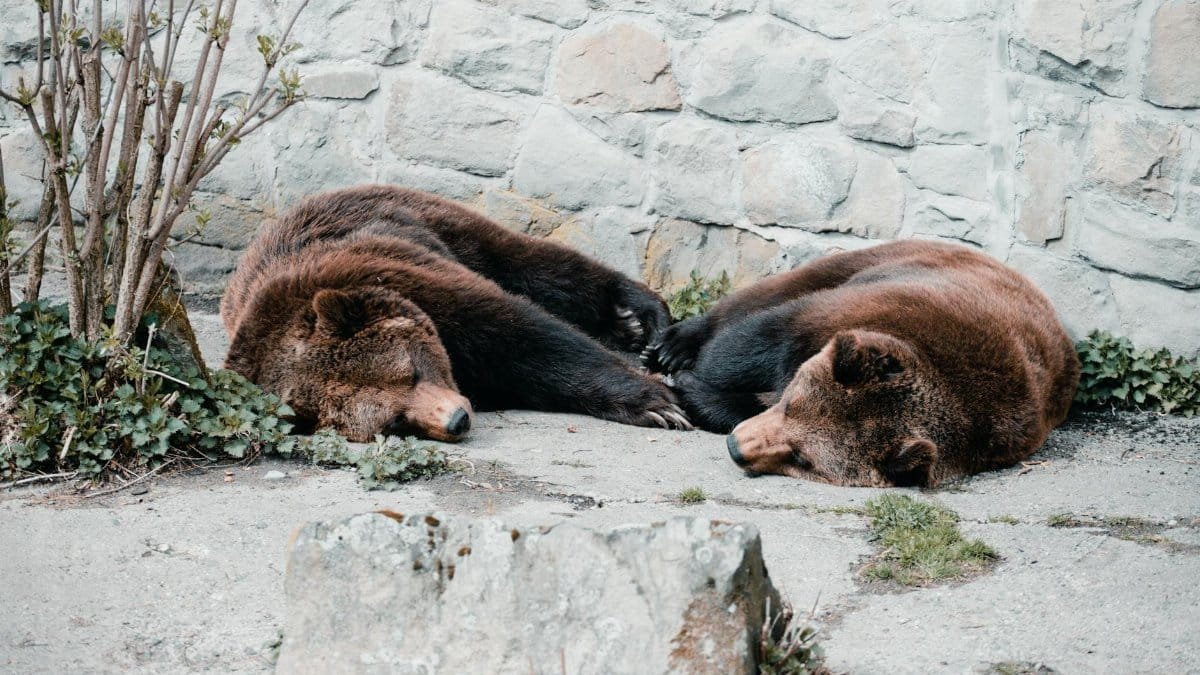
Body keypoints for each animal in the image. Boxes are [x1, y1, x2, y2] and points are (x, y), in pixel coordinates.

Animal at [220, 185, 691, 442]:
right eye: (394, 421)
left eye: (410, 372)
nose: (457, 420)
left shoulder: (406, 280)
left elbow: (528, 336)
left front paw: (657, 404)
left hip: (430, 224)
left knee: (539, 267)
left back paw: (638, 316)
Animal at [642, 240, 1080, 487]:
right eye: (792, 404)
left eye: (803, 458)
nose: (736, 448)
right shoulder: (870, 309)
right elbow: (748, 342)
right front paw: (683, 373)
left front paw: (694, 392)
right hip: (878, 261)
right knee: (768, 293)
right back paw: (672, 344)